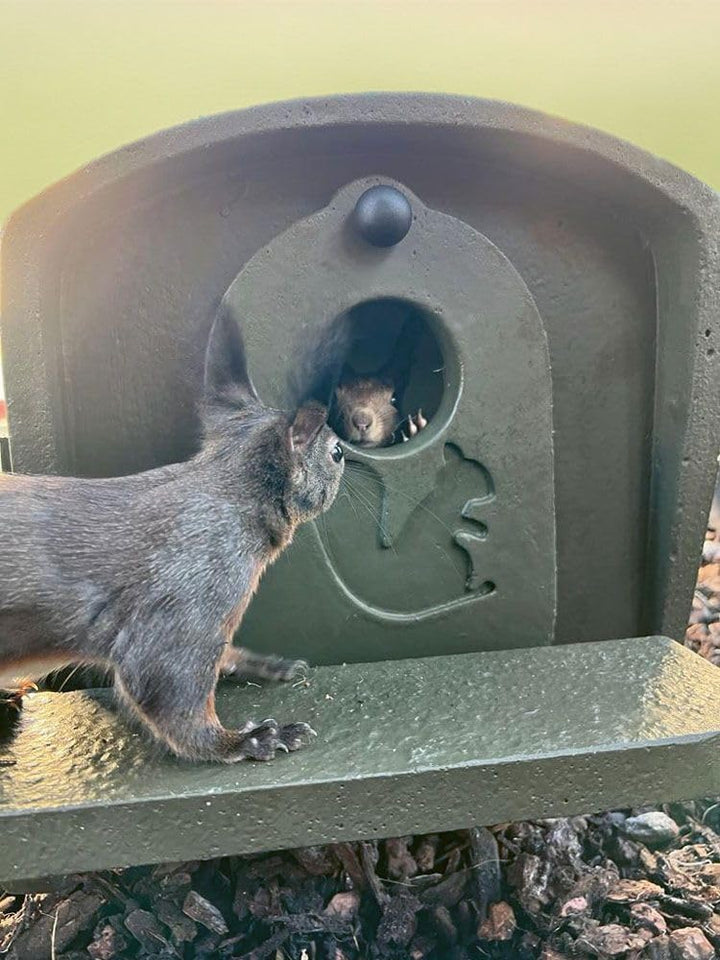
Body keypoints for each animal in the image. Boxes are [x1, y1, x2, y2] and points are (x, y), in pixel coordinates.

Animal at [0, 304, 345, 763]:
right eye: (336, 452)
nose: (349, 459)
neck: (228, 493)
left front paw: (260, 662)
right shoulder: (193, 592)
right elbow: (170, 693)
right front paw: (246, 740)